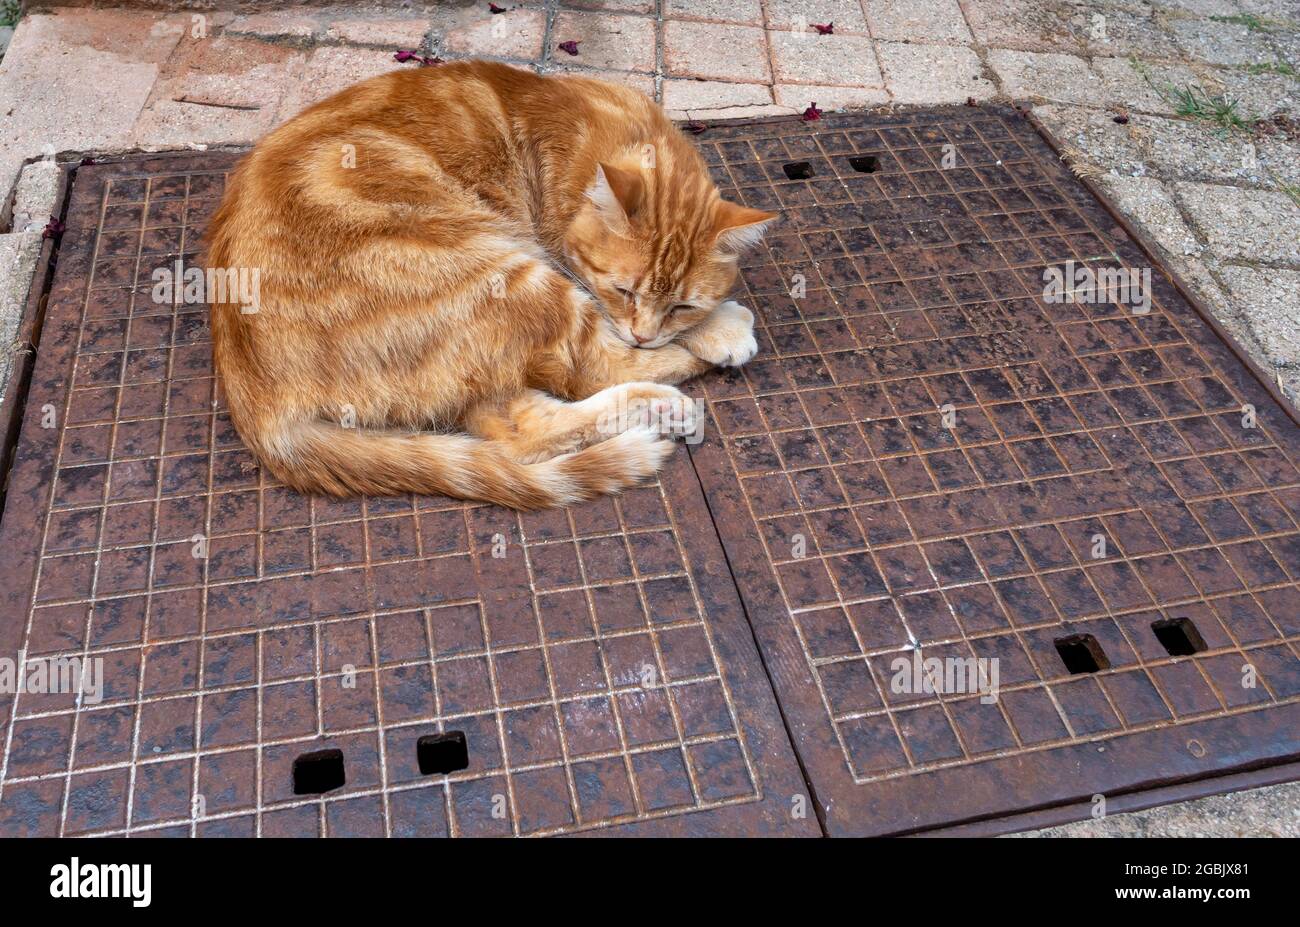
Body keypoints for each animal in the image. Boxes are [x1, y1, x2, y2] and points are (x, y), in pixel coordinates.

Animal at [202, 59, 769, 507]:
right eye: (624, 290)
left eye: (681, 306)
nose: (645, 333)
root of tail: (258, 405)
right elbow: (614, 345)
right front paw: (718, 328)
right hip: (507, 275)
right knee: (592, 372)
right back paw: (669, 396)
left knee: (516, 434)